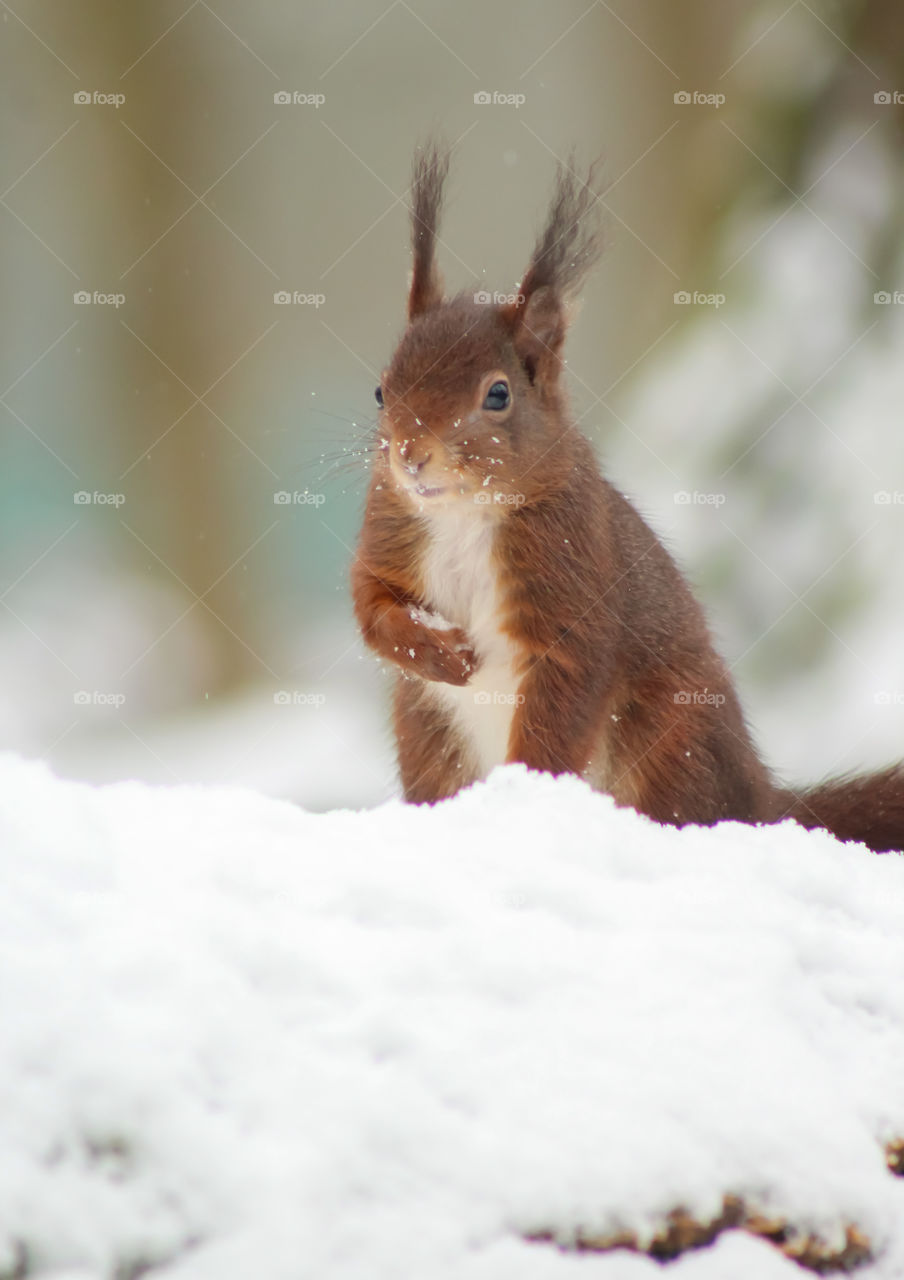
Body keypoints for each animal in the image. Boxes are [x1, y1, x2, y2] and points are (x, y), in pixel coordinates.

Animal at [350, 140, 901, 855]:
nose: (411, 457)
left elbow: (565, 691)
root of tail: (761, 802)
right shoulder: (390, 528)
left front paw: (526, 788)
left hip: (669, 739)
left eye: (497, 394)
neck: (463, 513)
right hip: (427, 737)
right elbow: (371, 604)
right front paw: (437, 651)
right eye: (381, 391)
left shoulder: (573, 578)